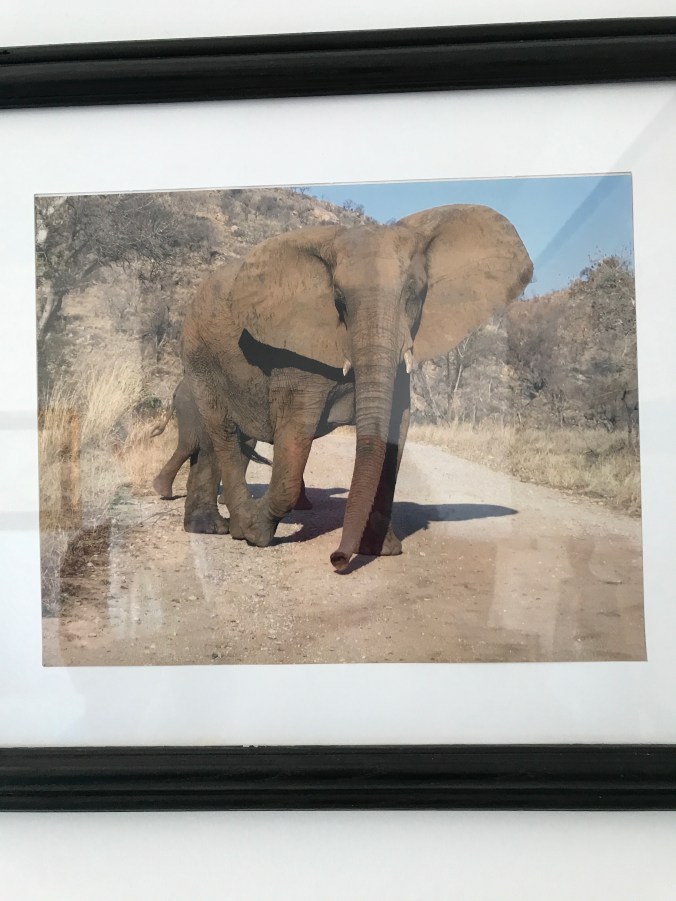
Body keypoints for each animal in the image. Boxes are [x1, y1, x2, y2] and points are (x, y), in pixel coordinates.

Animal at [181, 203, 533, 570]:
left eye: (414, 293)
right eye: (339, 300)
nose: (337, 559)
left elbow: (396, 428)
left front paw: (381, 549)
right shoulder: (296, 353)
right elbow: (295, 433)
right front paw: (256, 533)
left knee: (216, 442)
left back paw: (211, 528)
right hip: (200, 357)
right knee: (224, 433)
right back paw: (237, 527)